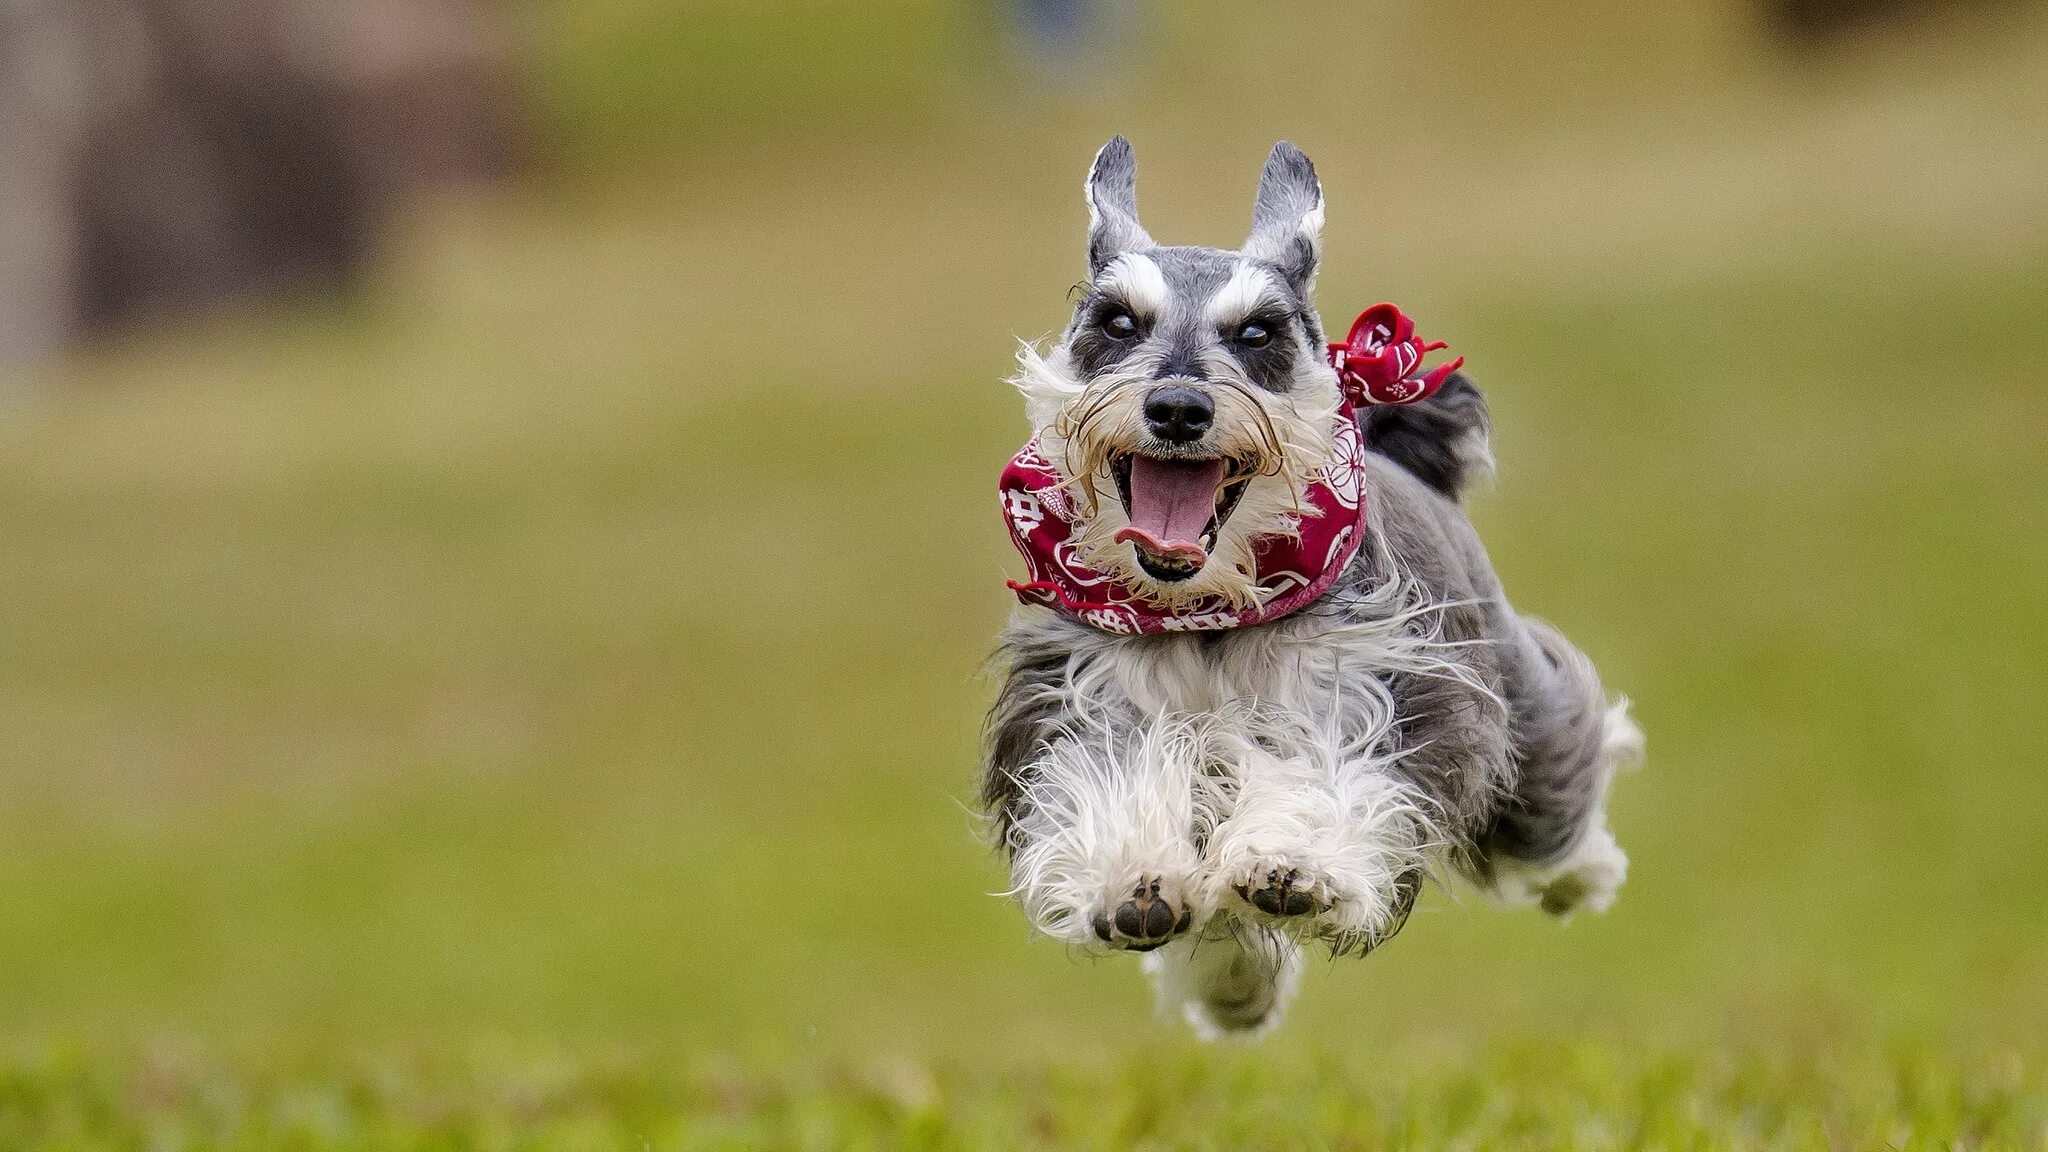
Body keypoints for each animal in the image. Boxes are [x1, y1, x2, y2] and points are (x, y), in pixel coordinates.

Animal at [983, 136, 1638, 1041]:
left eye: (1259, 331)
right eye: (1116, 322)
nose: (1178, 407)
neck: (1207, 611)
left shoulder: (1372, 693)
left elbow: (1320, 776)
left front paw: (1289, 863)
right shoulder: (1084, 697)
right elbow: (1112, 779)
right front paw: (1134, 882)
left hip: (1519, 722)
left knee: (1558, 792)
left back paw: (1588, 871)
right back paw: (1234, 992)